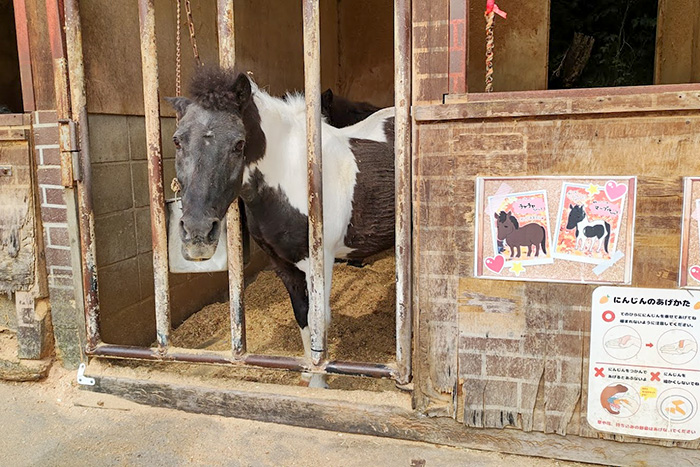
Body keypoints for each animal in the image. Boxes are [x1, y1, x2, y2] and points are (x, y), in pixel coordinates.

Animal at [164, 66, 394, 388]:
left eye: (239, 143)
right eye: (177, 141)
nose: (198, 233)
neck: (295, 175)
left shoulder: (319, 262)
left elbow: (319, 321)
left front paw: (319, 383)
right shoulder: (283, 264)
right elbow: (303, 317)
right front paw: (309, 375)